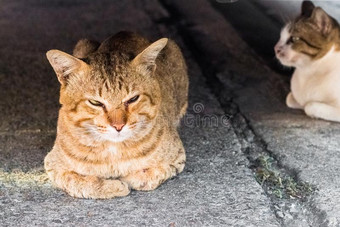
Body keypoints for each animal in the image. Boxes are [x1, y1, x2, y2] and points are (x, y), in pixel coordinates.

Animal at [43, 31, 189, 199]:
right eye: (95, 102)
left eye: (133, 99)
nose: (118, 126)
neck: (113, 149)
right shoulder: (53, 165)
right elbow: (79, 182)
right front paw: (113, 186)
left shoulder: (177, 157)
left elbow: (148, 176)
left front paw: (128, 179)